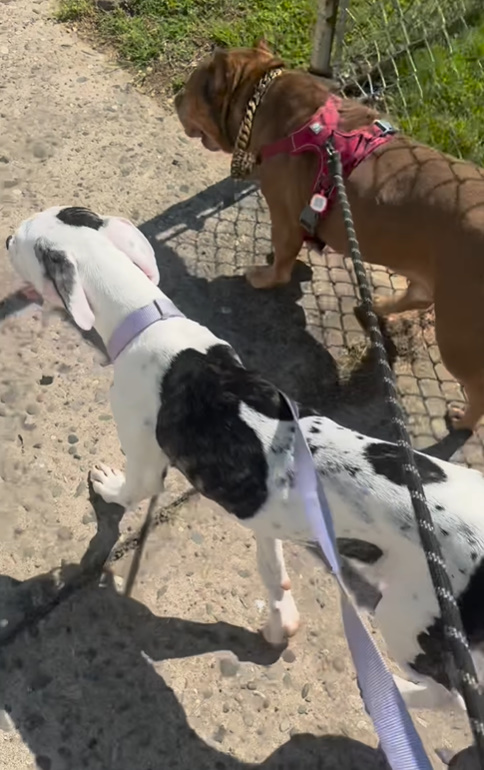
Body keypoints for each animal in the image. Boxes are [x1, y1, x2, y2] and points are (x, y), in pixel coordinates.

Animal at [5, 204, 484, 708]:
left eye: (20, 239)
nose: (5, 240)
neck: (145, 319)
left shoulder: (145, 464)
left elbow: (127, 491)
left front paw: (105, 487)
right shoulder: (268, 518)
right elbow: (272, 567)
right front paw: (280, 621)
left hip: (406, 619)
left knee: (451, 697)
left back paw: (396, 695)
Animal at [175, 40, 484, 432]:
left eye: (188, 89)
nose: (175, 97)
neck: (263, 94)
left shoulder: (283, 216)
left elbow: (282, 261)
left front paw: (265, 276)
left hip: (457, 331)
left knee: (477, 386)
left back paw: (462, 419)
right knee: (417, 293)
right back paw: (377, 306)